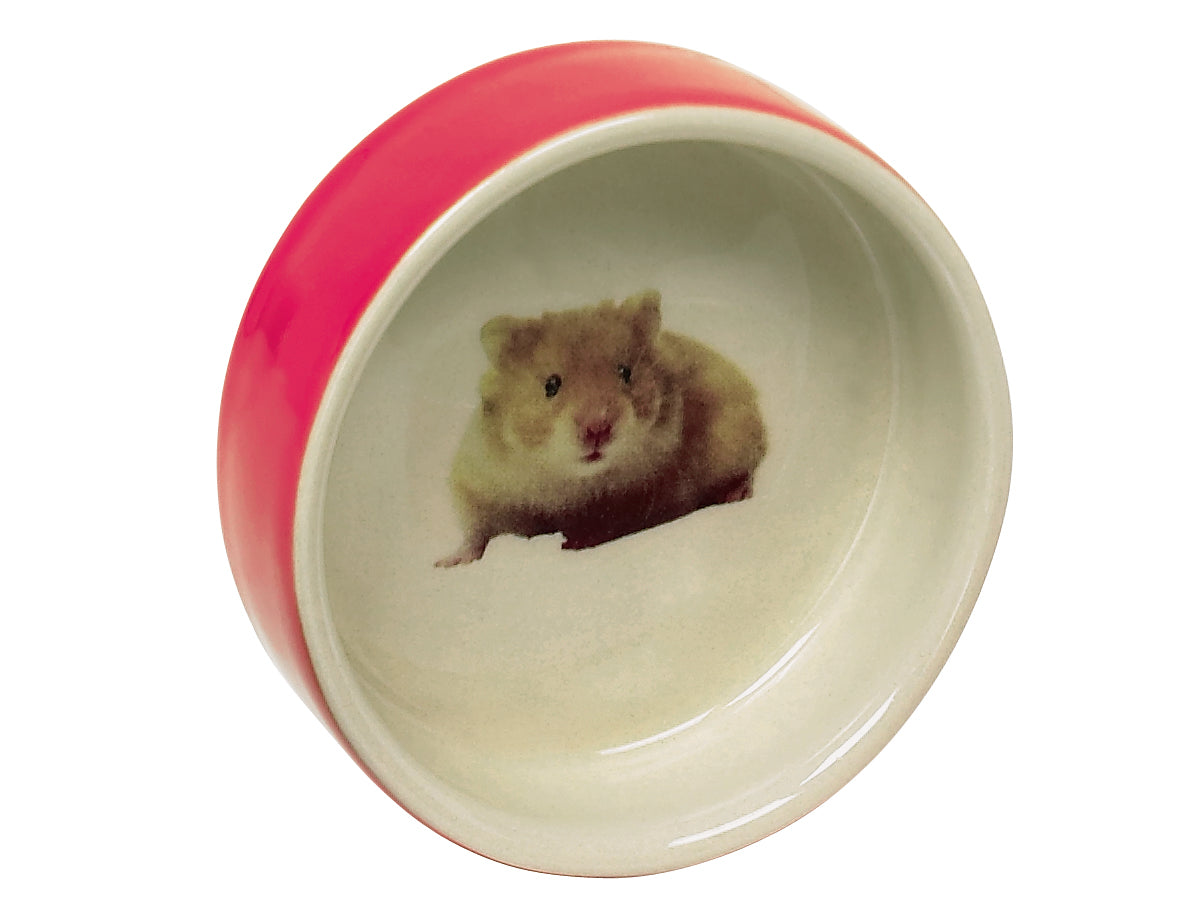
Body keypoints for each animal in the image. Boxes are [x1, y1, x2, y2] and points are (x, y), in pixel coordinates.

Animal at [436, 289, 767, 566]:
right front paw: (447, 562)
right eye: (551, 385)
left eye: (626, 372)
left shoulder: (643, 499)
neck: (574, 479)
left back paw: (737, 494)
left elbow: (605, 525)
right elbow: (476, 533)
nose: (598, 429)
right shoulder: (476, 484)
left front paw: (572, 543)